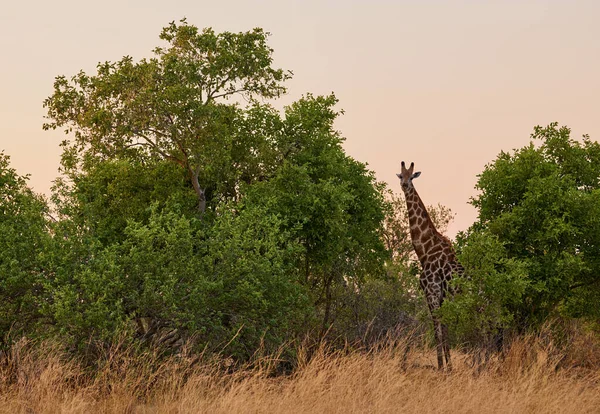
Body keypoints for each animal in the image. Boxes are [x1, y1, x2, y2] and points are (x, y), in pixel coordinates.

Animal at [398, 161, 464, 368]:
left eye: (412, 176)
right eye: (400, 176)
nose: (405, 185)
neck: (424, 251)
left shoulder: (432, 292)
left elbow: (437, 331)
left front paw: (441, 367)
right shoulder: (440, 296)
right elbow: (444, 329)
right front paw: (448, 366)